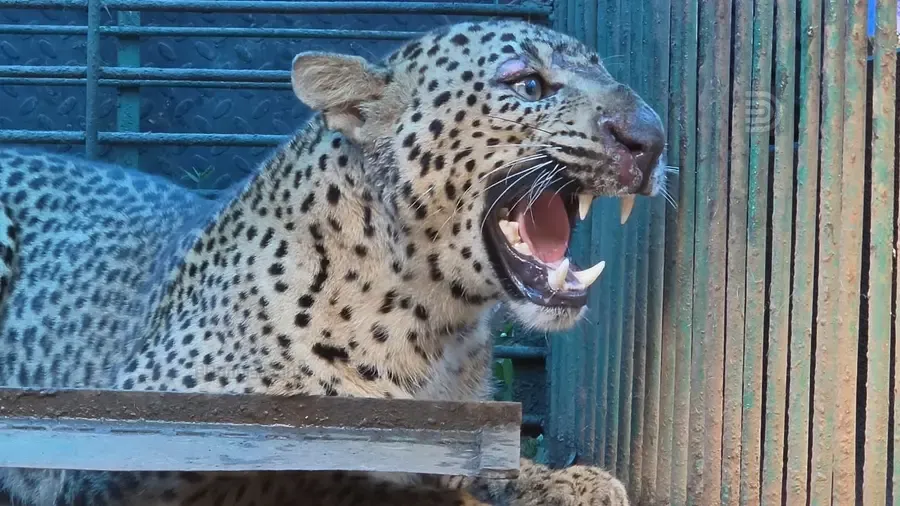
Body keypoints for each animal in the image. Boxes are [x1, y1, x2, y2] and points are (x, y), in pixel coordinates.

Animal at [0, 18, 666, 506]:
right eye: (527, 84)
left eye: (606, 71)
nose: (650, 137)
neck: (438, 323)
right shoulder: (134, 441)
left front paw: (569, 480)